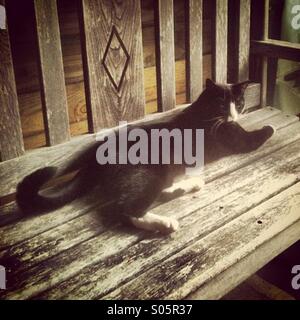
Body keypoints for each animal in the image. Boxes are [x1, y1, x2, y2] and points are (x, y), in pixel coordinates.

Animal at [15, 79, 276, 234]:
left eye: (239, 103)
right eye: (223, 106)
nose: (233, 115)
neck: (206, 112)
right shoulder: (238, 139)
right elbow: (258, 136)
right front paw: (270, 127)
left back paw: (189, 185)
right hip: (150, 171)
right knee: (126, 209)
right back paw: (164, 223)